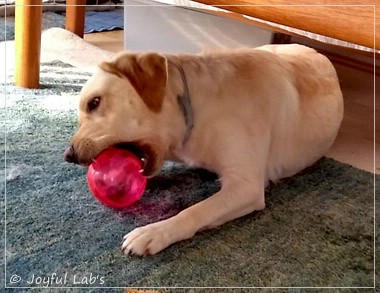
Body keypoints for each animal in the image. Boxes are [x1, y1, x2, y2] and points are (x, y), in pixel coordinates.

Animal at [64, 44, 344, 256]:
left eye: (94, 102)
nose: (69, 155)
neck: (196, 110)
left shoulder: (246, 186)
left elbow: (194, 210)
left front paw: (154, 231)